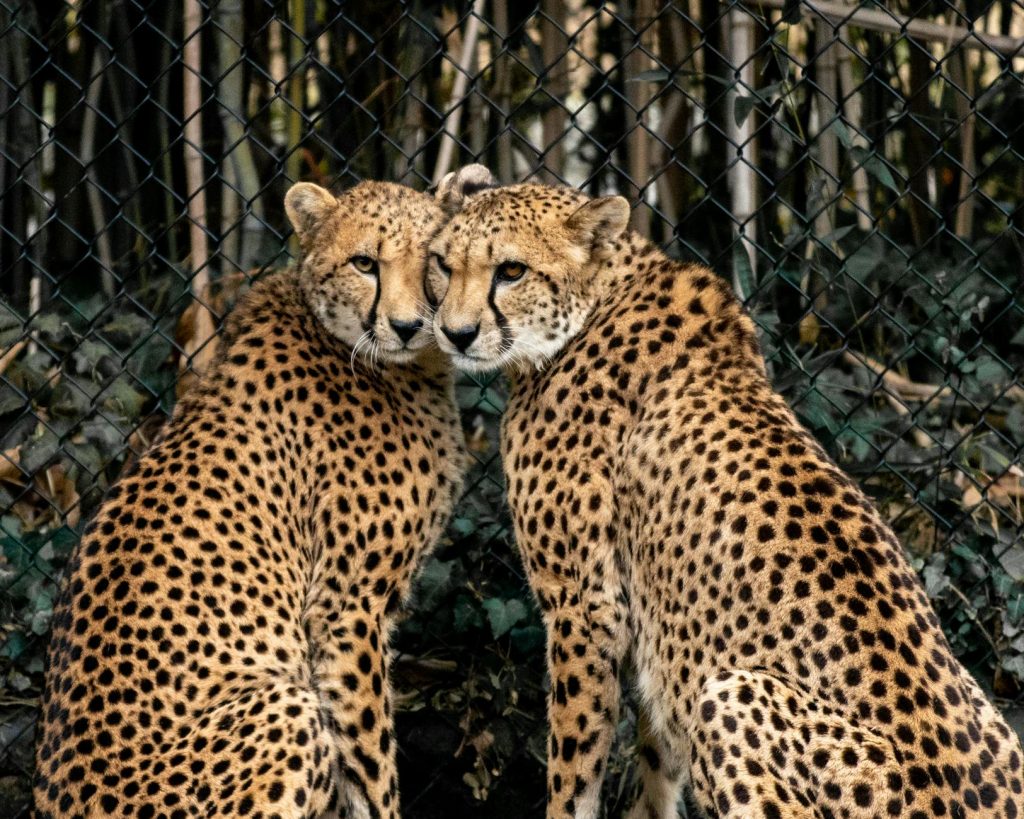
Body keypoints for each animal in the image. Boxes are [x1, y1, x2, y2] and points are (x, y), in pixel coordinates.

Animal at [33, 178, 467, 819]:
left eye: (434, 262)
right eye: (365, 263)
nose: (411, 325)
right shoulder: (345, 610)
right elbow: (371, 767)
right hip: (286, 708)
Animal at [428, 176, 1024, 819]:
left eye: (511, 271)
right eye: (443, 265)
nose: (455, 334)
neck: (595, 303)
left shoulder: (585, 607)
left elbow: (574, 767)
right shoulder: (657, 635)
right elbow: (657, 762)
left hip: (733, 691)